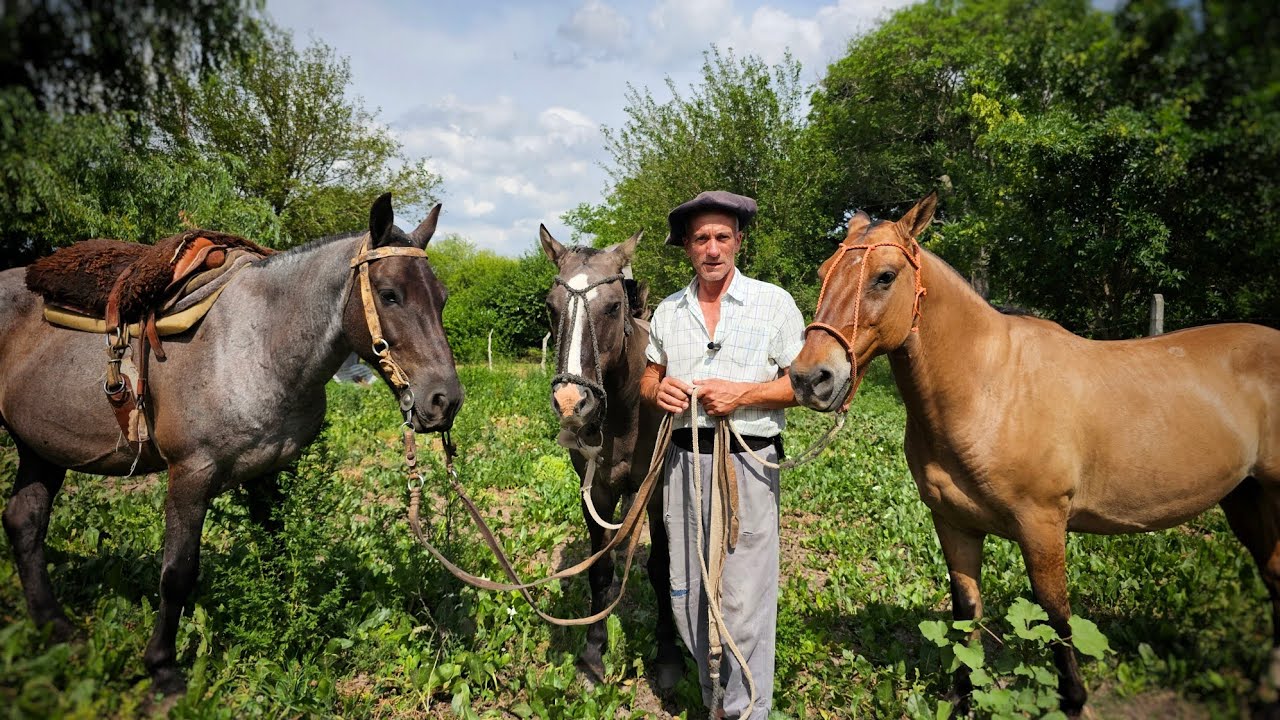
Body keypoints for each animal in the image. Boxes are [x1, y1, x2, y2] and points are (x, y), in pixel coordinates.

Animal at [0, 193, 463, 696]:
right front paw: (163, 669)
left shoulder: (266, 473)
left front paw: (286, 628)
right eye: (390, 294)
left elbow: (278, 550)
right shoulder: (190, 475)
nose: (444, 400)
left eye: (442, 297)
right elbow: (177, 574)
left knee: (24, 522)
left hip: (41, 447)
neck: (258, 342)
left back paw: (56, 629)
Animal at [538, 226, 684, 690]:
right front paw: (592, 654)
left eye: (614, 305)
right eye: (551, 307)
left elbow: (662, 567)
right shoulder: (596, 491)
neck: (627, 408)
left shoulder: (656, 491)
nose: (571, 402)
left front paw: (668, 655)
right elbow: (598, 570)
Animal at [788, 192, 1280, 717]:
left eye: (885, 276)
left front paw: (1074, 700)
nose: (810, 377)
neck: (990, 388)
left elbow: (1056, 616)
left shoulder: (1042, 524)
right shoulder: (954, 523)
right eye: (823, 272)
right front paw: (963, 699)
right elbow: (966, 613)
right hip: (1244, 497)